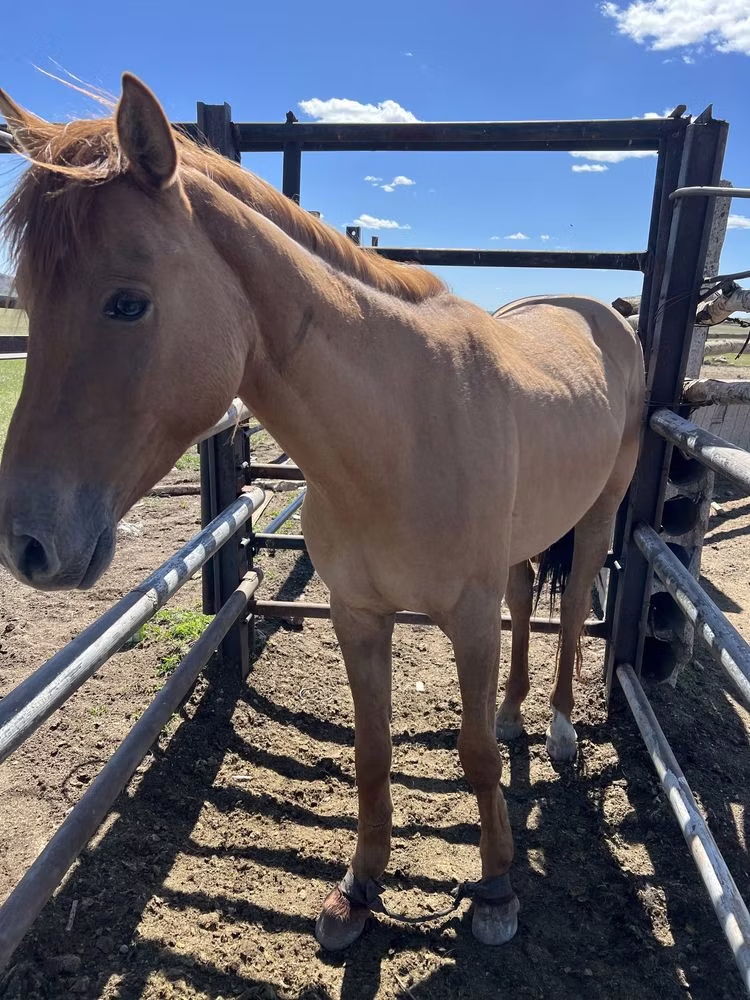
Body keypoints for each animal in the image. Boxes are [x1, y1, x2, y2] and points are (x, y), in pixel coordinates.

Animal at [0, 74, 645, 951]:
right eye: (28, 302)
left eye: (128, 304)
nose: (27, 542)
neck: (399, 428)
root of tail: (596, 307)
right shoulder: (357, 613)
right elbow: (372, 753)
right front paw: (359, 890)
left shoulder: (466, 618)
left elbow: (474, 753)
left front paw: (496, 889)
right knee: (524, 599)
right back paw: (518, 715)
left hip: (601, 511)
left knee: (573, 610)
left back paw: (560, 730)